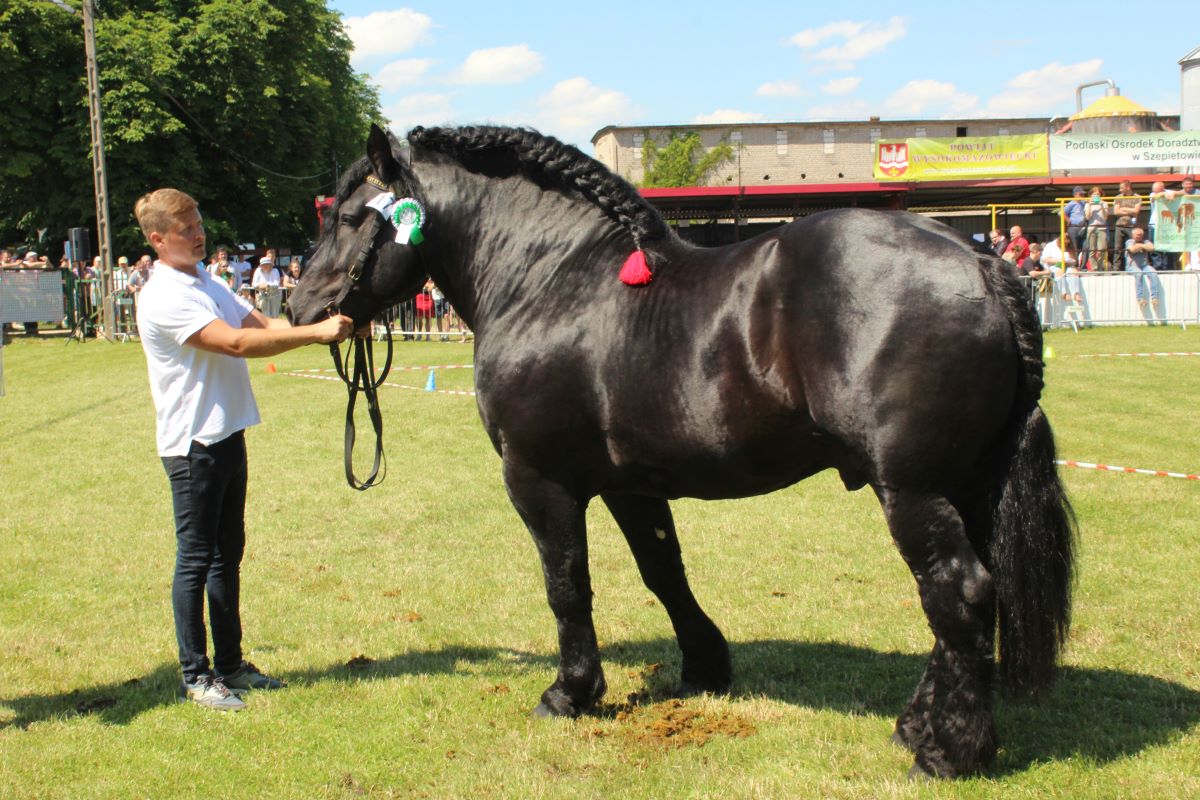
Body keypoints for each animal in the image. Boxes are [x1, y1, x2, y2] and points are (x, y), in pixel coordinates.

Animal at [290, 125, 1080, 782]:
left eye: (348, 218)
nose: (298, 309)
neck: (552, 279)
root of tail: (980, 264)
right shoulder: (629, 483)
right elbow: (663, 571)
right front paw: (704, 665)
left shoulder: (540, 479)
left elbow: (566, 584)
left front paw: (571, 692)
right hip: (965, 485)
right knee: (966, 603)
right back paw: (918, 725)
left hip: (911, 488)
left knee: (959, 592)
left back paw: (946, 752)